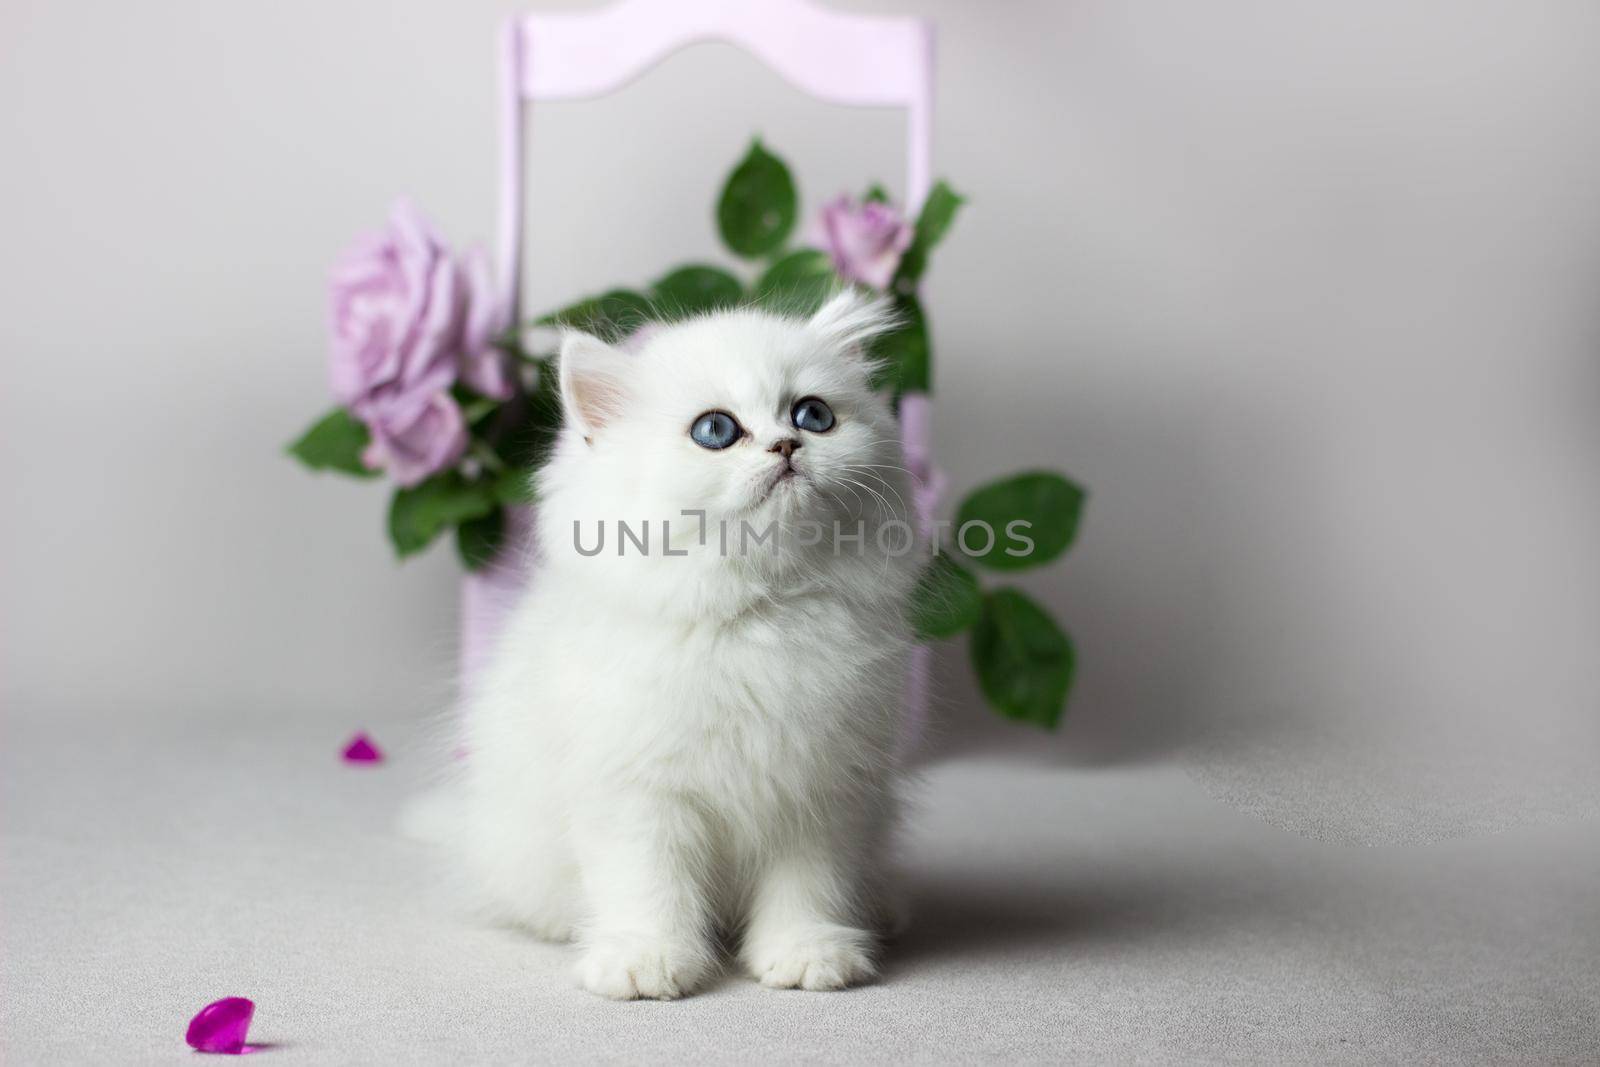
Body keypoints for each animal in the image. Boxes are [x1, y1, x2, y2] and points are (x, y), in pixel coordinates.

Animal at [457, 292, 921, 1004]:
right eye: (716, 430)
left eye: (814, 415)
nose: (787, 444)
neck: (756, 615)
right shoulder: (637, 791)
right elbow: (649, 885)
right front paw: (644, 963)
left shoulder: (822, 789)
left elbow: (808, 887)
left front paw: (807, 955)